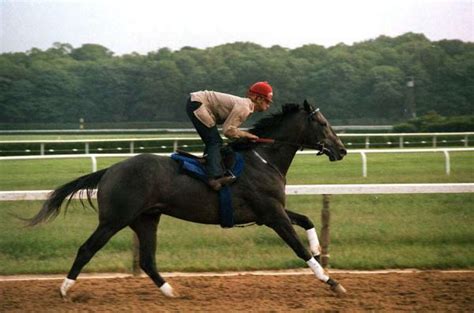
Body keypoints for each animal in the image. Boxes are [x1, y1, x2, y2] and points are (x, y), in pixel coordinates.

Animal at [27, 100, 348, 298]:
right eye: (322, 123)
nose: (342, 150)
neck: (262, 158)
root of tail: (110, 170)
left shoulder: (270, 212)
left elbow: (306, 220)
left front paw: (319, 247)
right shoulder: (272, 215)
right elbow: (299, 250)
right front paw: (332, 282)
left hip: (146, 219)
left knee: (147, 260)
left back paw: (171, 292)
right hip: (114, 219)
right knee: (87, 249)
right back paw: (64, 289)